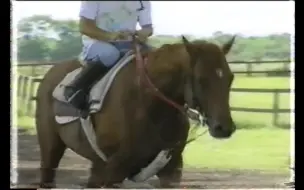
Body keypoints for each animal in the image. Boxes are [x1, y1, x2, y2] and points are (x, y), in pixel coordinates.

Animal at [35, 36, 235, 189]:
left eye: (230, 77)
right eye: (201, 79)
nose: (224, 128)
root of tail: (50, 73)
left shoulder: (171, 170)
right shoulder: (115, 170)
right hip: (51, 149)